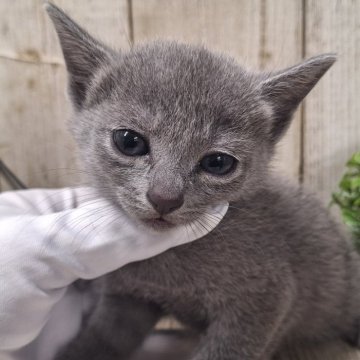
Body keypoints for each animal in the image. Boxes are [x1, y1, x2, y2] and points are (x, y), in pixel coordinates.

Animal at [46, 2, 360, 360]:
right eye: (129, 141)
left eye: (218, 163)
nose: (165, 197)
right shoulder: (128, 297)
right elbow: (103, 338)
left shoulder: (266, 297)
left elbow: (229, 349)